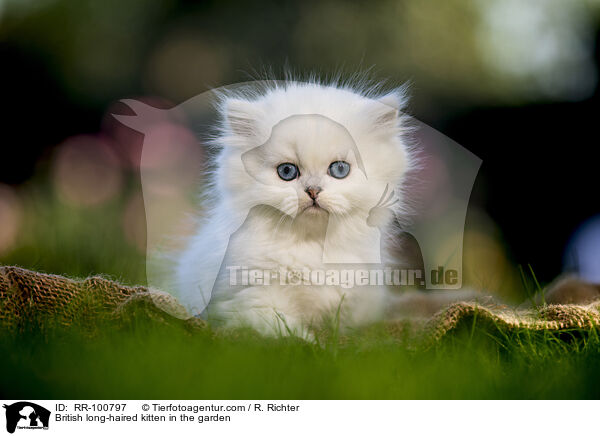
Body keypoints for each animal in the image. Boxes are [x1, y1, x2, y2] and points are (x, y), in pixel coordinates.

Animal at [176, 80, 414, 336]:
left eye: (340, 169)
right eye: (287, 171)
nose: (313, 191)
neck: (313, 246)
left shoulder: (355, 305)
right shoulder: (250, 300)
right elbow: (286, 331)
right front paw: (310, 341)